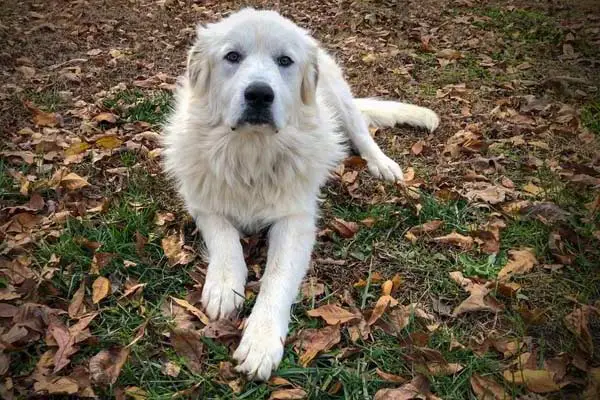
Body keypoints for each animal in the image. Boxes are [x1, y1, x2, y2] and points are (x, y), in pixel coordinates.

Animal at [162, 7, 438, 380]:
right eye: (232, 56)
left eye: (284, 61)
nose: (259, 94)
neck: (251, 152)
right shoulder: (203, 202)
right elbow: (224, 238)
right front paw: (223, 284)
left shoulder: (294, 221)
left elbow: (277, 278)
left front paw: (261, 341)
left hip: (340, 100)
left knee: (362, 135)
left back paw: (383, 164)